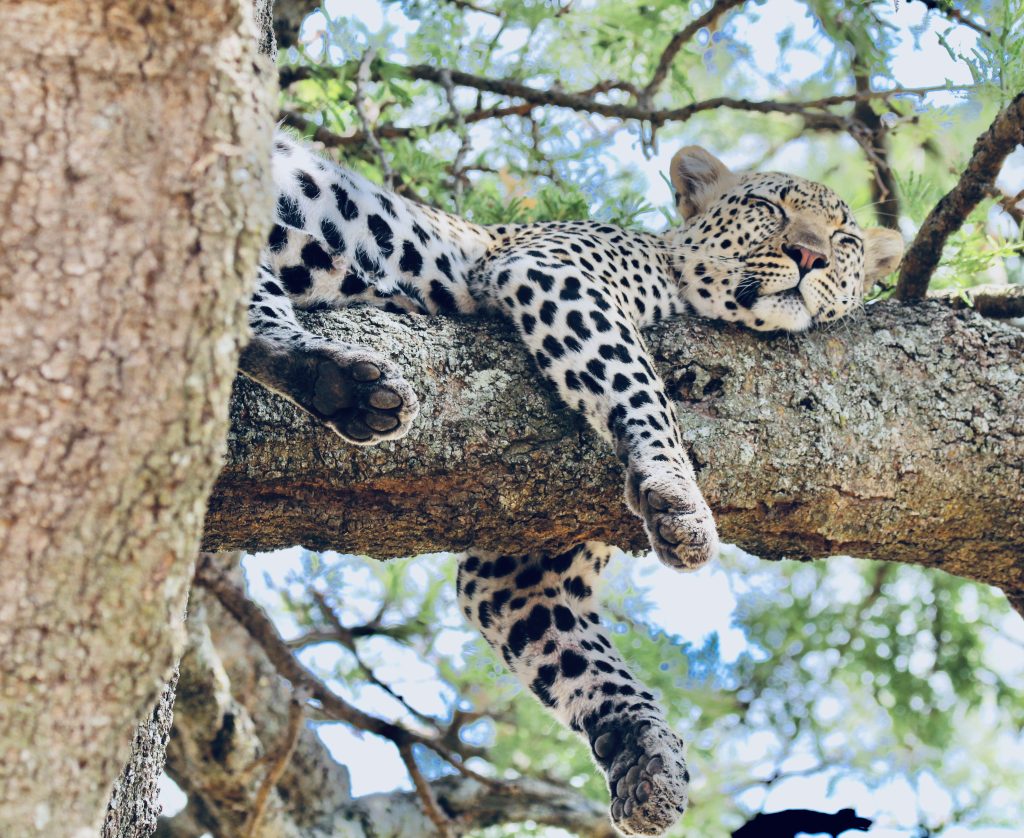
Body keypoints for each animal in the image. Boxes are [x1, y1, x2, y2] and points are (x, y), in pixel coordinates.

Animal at [239, 134, 905, 831]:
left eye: (845, 237)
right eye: (768, 206)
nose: (811, 255)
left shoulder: (520, 571)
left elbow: (585, 662)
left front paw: (649, 758)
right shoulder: (557, 269)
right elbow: (640, 385)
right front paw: (678, 492)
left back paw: (345, 389)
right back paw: (347, 383)